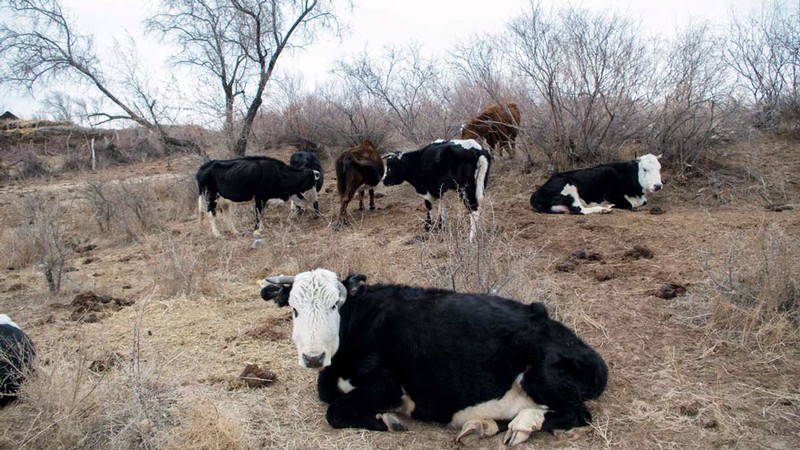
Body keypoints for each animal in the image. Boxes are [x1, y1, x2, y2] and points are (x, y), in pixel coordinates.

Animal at [258, 269, 608, 446]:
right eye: (294, 309)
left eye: (334, 305)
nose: (313, 357)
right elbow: (325, 393)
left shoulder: (387, 385)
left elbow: (335, 412)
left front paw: (388, 420)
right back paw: (481, 425)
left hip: (542, 375)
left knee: (577, 413)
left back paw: (523, 425)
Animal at [530, 154, 663, 214]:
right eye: (645, 169)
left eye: (659, 168)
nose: (658, 186)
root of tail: (536, 193)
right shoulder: (612, 195)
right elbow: (629, 205)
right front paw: (610, 205)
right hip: (569, 187)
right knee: (579, 209)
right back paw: (603, 209)